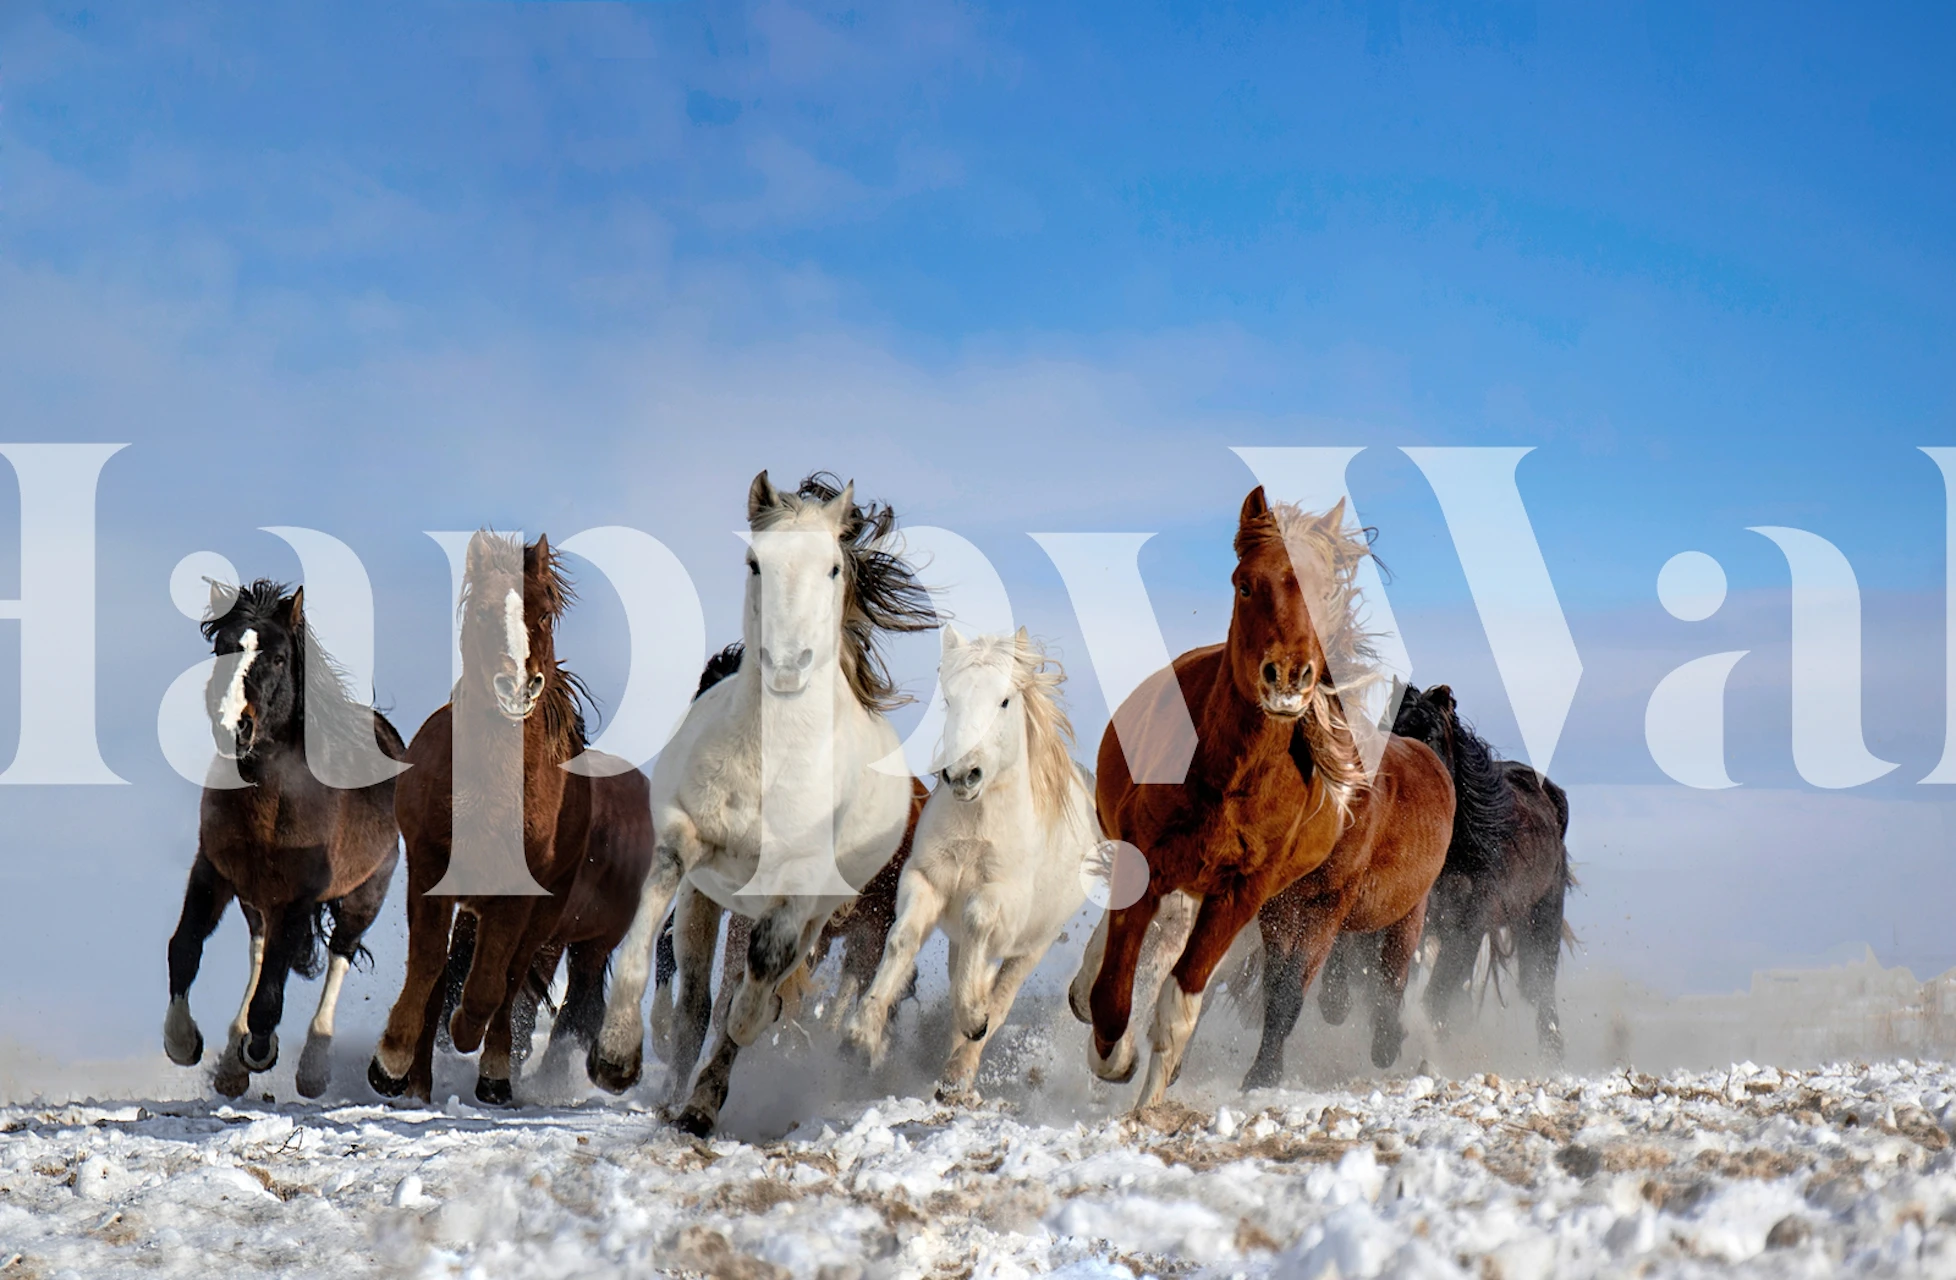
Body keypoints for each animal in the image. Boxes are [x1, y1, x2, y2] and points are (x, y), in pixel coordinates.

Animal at [163, 580, 406, 1099]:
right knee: (259, 950)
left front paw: (260, 1049)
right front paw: (183, 1042)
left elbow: (272, 992)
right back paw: (232, 1062)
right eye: (222, 648)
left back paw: (311, 1068)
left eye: (277, 658)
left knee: (339, 955)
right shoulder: (212, 871)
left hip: (365, 894)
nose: (234, 726)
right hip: (256, 899)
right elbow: (185, 948)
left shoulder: (299, 894)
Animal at [366, 531, 655, 1105]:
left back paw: (494, 1070)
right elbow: (428, 966)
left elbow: (490, 983)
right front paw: (391, 1063)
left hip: (555, 921)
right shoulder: (431, 871)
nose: (517, 685)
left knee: (513, 977)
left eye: (542, 614)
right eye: (480, 612)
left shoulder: (518, 900)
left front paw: (470, 1039)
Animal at [590, 471, 936, 1136]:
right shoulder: (686, 842)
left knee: (746, 992)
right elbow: (649, 937)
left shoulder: (798, 894)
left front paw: (726, 1068)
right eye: (755, 562)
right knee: (695, 1002)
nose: (787, 663)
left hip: (821, 917)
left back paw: (702, 1104)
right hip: (710, 901)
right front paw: (615, 1057)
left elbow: (756, 992)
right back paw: (675, 1097)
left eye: (832, 566)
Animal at [844, 627, 1099, 1099]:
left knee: (1001, 998)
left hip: (1032, 947)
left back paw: (961, 1069)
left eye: (1004, 701)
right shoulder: (924, 881)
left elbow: (979, 920)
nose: (964, 775)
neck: (975, 828)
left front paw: (973, 1017)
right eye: (949, 698)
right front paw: (861, 1035)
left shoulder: (1001, 899)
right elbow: (903, 939)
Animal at [1071, 488, 1452, 1109]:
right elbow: (1116, 990)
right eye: (1246, 584)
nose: (1288, 677)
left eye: (1324, 593)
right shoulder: (1146, 863)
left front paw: (1150, 1102)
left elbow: (1181, 1002)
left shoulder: (1245, 896)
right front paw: (1116, 1058)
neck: (1229, 781)